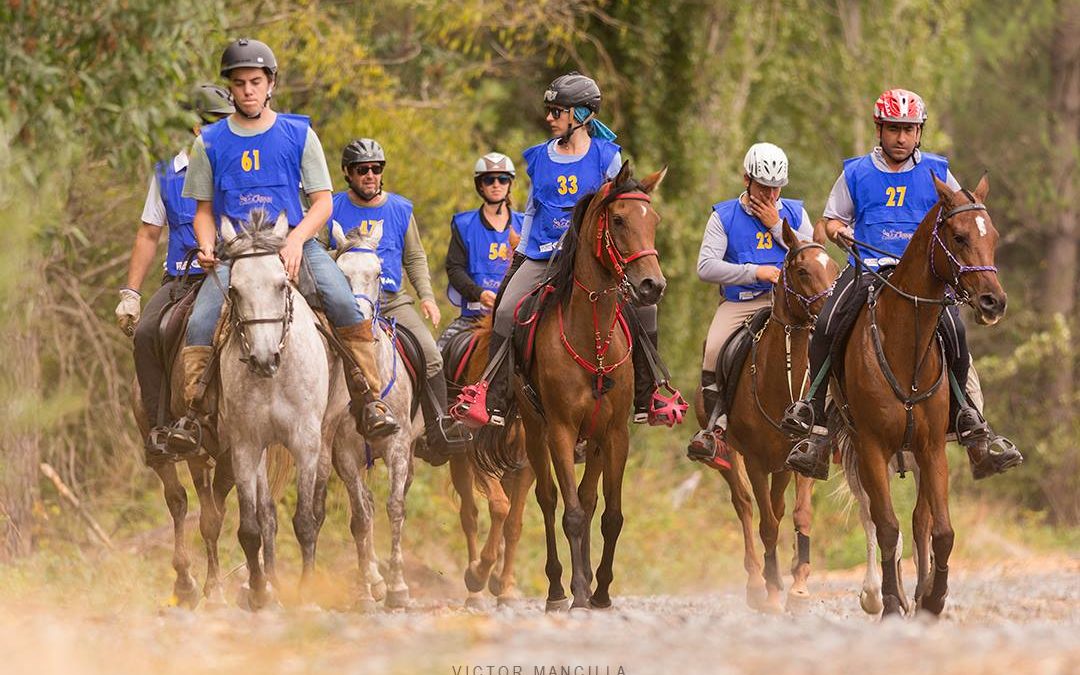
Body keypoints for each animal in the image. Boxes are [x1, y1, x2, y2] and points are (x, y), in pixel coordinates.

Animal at [212, 210, 326, 609]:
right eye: (234, 290)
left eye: (281, 285)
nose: (264, 359)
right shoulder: (246, 446)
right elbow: (250, 527)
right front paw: (260, 591)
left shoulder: (306, 443)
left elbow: (305, 521)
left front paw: (307, 590)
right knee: (263, 515)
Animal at [442, 315, 535, 604]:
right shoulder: (476, 455)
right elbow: (499, 507)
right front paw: (479, 572)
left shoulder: (525, 465)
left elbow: (514, 524)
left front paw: (504, 585)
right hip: (460, 462)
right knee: (469, 515)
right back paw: (474, 589)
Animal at [479, 160, 665, 609]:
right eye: (619, 220)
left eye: (654, 221)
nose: (652, 285)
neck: (591, 337)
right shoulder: (561, 431)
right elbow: (573, 514)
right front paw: (579, 591)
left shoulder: (614, 434)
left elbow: (610, 515)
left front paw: (601, 591)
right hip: (535, 432)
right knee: (549, 502)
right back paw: (556, 589)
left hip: (593, 440)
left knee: (587, 497)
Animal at [695, 223, 838, 613]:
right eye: (802, 271)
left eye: (835, 268)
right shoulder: (756, 461)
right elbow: (767, 525)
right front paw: (773, 591)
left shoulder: (802, 457)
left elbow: (800, 515)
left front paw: (799, 585)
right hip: (731, 457)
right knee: (745, 506)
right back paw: (756, 582)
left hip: (781, 465)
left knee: (776, 505)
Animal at [833, 174, 1002, 617]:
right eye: (959, 237)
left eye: (993, 236)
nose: (994, 301)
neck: (905, 347)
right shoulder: (870, 447)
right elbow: (885, 526)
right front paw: (892, 601)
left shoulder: (931, 447)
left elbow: (940, 530)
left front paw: (934, 598)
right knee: (872, 517)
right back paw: (876, 594)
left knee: (920, 520)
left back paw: (922, 590)